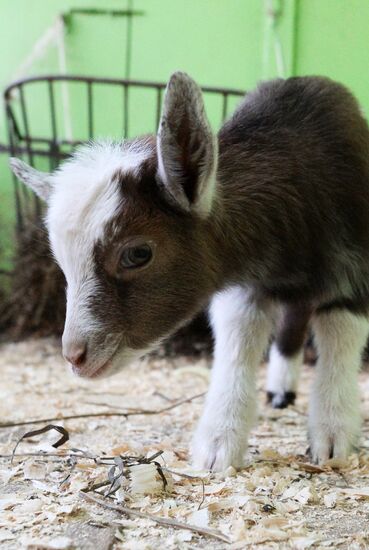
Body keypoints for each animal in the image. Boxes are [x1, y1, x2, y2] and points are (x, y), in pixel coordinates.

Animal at [10, 72, 368, 470]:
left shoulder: (354, 264)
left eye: (137, 254)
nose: (75, 356)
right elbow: (239, 335)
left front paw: (333, 438)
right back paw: (279, 390)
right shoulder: (245, 284)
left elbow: (341, 333)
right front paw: (218, 445)